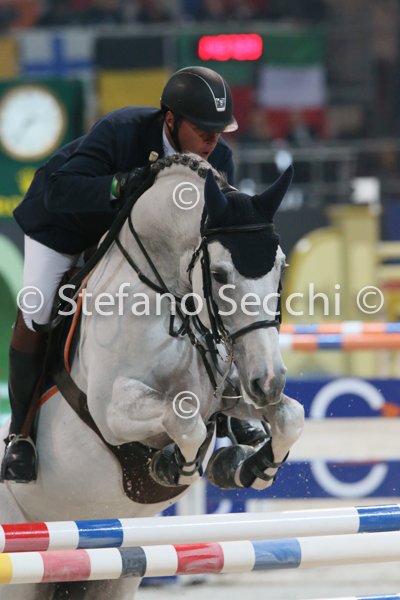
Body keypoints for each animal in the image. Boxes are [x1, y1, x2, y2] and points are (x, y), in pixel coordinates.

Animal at [0, 154, 304, 600]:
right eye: (219, 275)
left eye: (281, 266)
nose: (268, 382)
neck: (169, 296)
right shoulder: (112, 409)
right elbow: (184, 419)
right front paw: (171, 465)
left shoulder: (226, 394)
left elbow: (289, 417)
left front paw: (247, 465)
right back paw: (19, 458)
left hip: (115, 574)